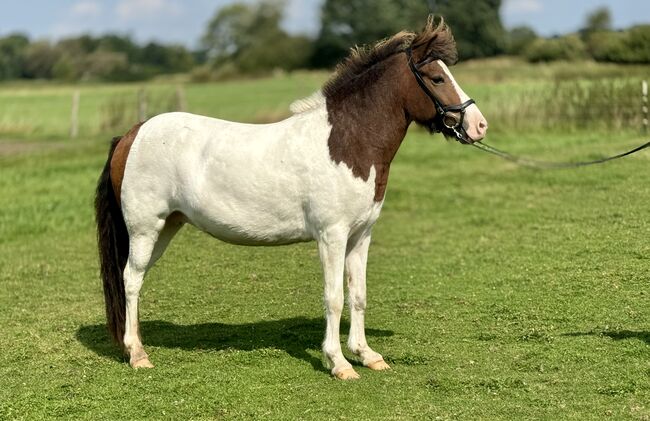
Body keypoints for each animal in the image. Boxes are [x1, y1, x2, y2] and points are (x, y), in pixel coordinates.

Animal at [93, 16, 484, 378]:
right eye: (437, 79)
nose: (479, 125)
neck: (346, 142)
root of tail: (132, 134)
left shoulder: (360, 235)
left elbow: (358, 295)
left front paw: (367, 355)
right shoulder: (332, 236)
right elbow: (334, 298)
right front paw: (339, 363)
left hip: (166, 227)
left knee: (136, 278)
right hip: (145, 228)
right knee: (131, 279)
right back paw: (138, 355)